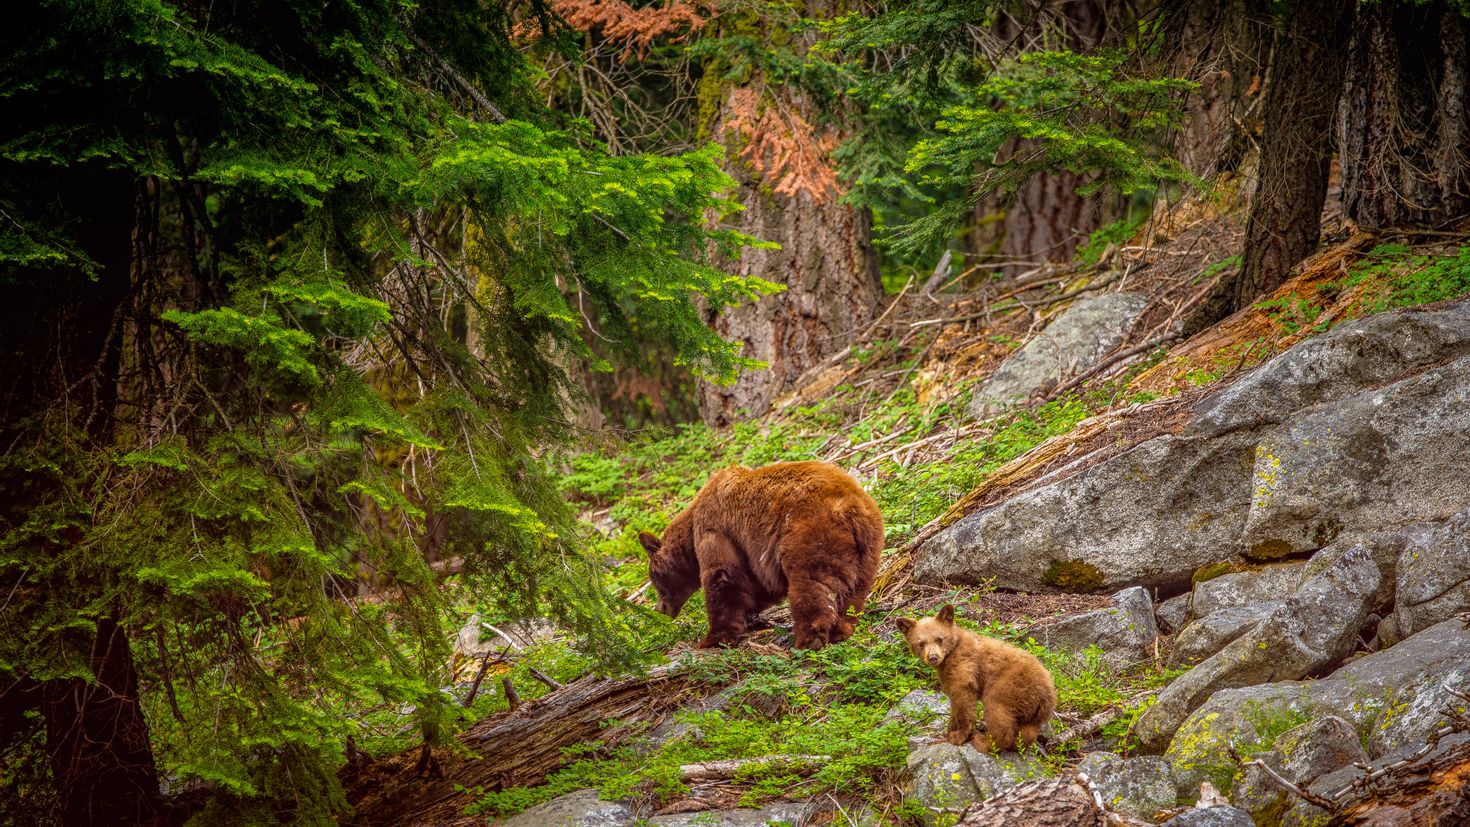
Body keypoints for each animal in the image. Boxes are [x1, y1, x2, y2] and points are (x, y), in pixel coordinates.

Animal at [635, 464, 882, 649]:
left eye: (653, 579)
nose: (659, 609)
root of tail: (850, 508)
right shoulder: (752, 556)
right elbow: (756, 586)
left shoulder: (717, 531)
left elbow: (723, 577)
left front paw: (712, 639)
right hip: (867, 549)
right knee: (853, 591)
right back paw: (842, 629)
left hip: (809, 533)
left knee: (810, 583)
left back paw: (809, 639)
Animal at [893, 605, 1058, 752]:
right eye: (921, 643)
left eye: (939, 639)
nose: (933, 657)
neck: (951, 653)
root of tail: (1046, 693)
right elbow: (954, 702)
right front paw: (949, 731)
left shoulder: (965, 665)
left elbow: (963, 699)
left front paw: (959, 735)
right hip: (1034, 712)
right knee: (1028, 731)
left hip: (1009, 686)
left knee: (997, 711)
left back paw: (984, 742)